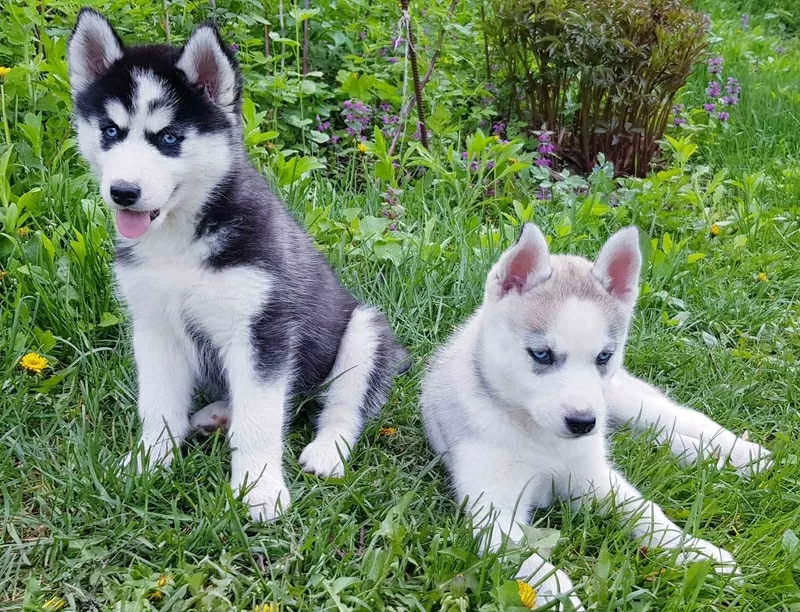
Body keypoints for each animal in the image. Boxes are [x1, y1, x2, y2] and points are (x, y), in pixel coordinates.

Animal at [68, 9, 406, 520]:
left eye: (169, 138)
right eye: (110, 131)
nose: (123, 192)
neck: (180, 241)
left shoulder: (263, 329)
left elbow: (261, 417)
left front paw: (260, 488)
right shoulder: (153, 326)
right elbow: (158, 403)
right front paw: (150, 461)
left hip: (364, 330)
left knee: (344, 404)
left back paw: (327, 450)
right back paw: (215, 414)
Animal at [422, 224, 772, 608]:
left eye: (604, 356)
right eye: (541, 354)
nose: (582, 423)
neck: (538, 437)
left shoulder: (593, 478)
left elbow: (649, 512)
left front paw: (697, 552)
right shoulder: (493, 510)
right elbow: (533, 564)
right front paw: (561, 600)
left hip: (625, 402)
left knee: (681, 420)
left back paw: (743, 454)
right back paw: (705, 456)